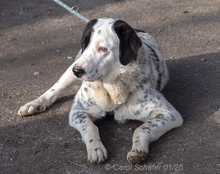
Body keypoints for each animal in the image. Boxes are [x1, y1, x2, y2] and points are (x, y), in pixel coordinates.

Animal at [17, 17, 183, 164]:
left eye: (102, 49)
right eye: (84, 44)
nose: (77, 71)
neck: (110, 89)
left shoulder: (169, 114)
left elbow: (141, 129)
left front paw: (137, 150)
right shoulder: (78, 111)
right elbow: (91, 127)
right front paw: (96, 149)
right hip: (70, 70)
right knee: (55, 89)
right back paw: (34, 104)